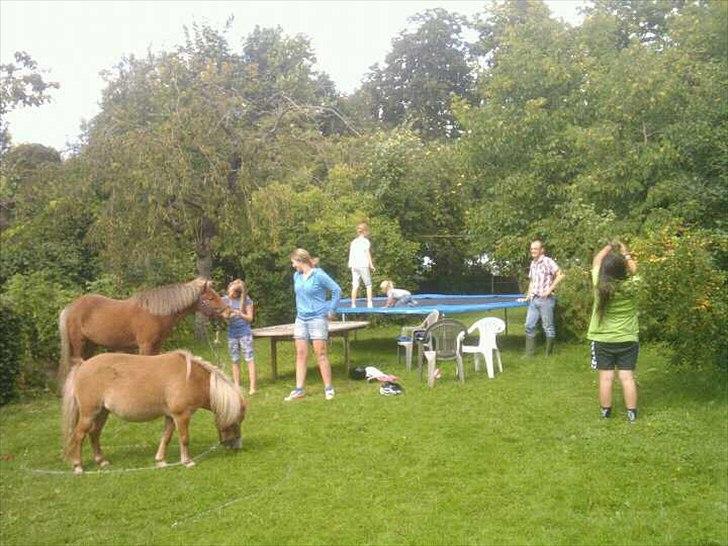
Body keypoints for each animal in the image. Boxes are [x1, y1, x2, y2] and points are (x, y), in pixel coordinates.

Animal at [59, 276, 230, 378]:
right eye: (210, 297)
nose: (228, 312)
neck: (155, 312)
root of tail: (70, 307)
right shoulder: (145, 345)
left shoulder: (156, 345)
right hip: (79, 343)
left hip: (91, 344)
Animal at [60, 348, 247, 472]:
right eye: (234, 422)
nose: (236, 446)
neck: (191, 379)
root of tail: (82, 365)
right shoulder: (182, 416)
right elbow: (184, 438)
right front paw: (187, 461)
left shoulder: (171, 417)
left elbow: (166, 437)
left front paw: (160, 461)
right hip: (89, 414)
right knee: (79, 436)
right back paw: (78, 466)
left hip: (102, 413)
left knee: (94, 434)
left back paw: (102, 461)